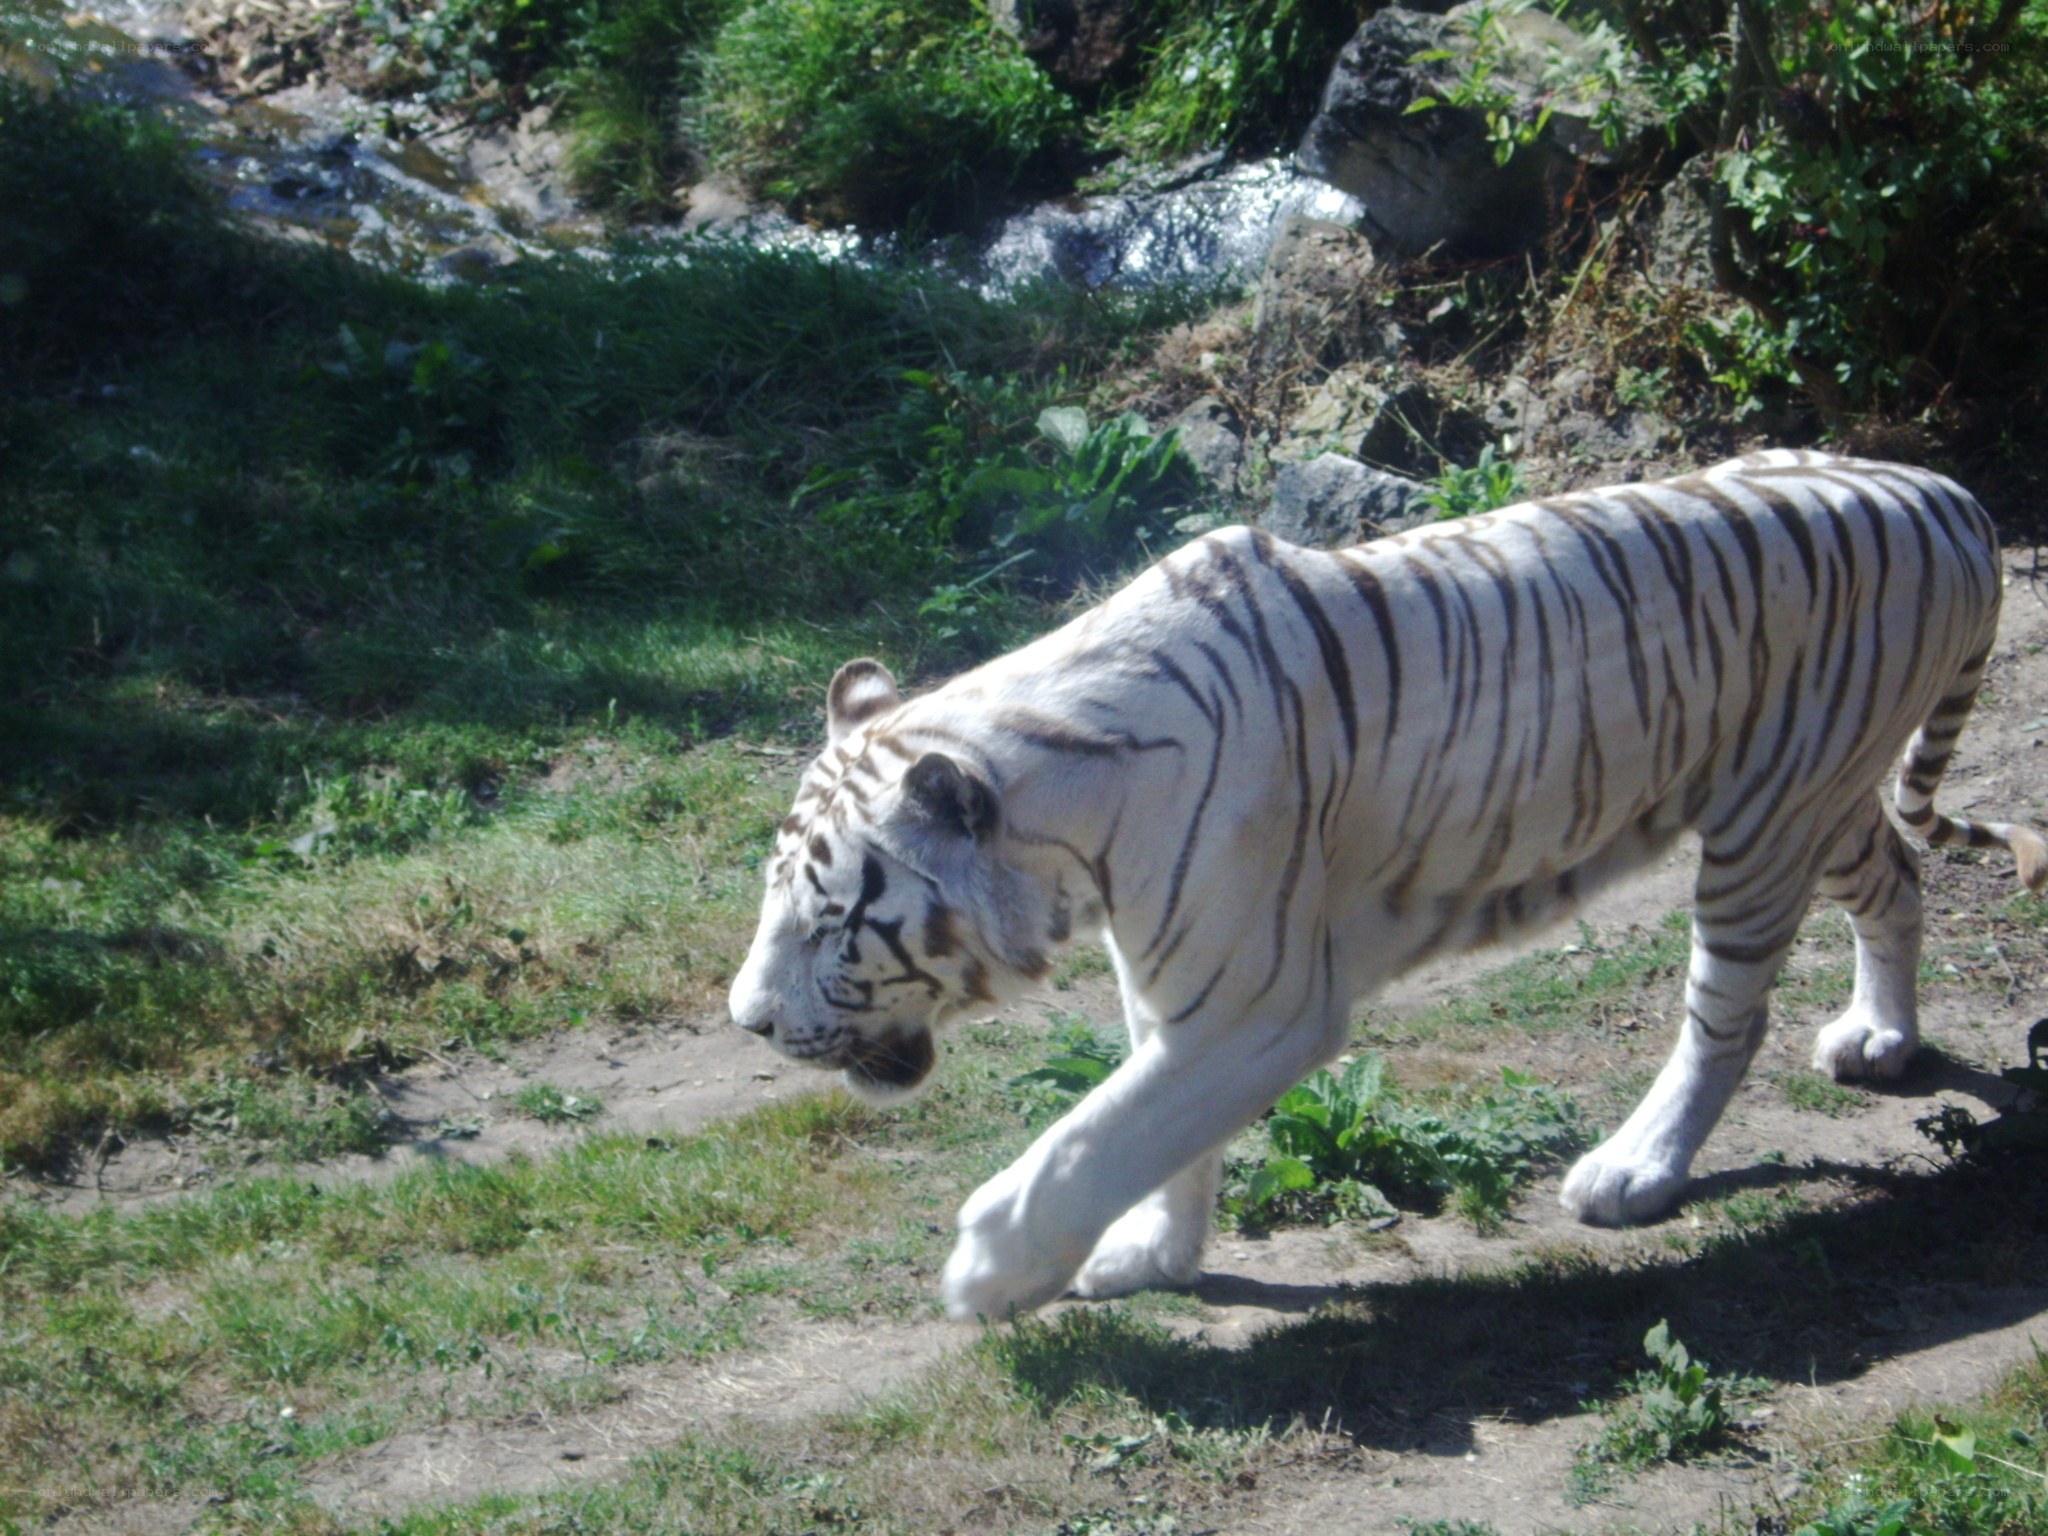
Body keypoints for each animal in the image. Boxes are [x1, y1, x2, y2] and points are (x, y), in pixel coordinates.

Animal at [728, 450, 2048, 1322]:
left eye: (831, 920)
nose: (745, 1023)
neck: (1070, 831)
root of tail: (1942, 492)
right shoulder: (1178, 985)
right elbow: (1153, 1127)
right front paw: (1150, 1255)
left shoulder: (1258, 1000)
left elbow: (1087, 1136)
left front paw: (988, 1273)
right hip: (1816, 800)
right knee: (1897, 878)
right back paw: (1880, 1037)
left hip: (1765, 822)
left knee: (1724, 1015)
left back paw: (1634, 1171)